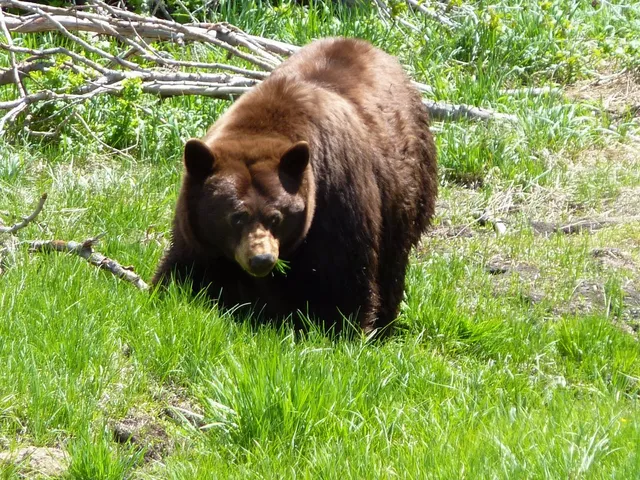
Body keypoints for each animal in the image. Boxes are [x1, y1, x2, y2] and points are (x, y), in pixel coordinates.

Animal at [152, 37, 437, 335]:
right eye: (235, 217)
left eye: (276, 217)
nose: (261, 259)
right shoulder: (196, 226)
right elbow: (187, 266)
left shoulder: (336, 199)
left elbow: (343, 276)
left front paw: (341, 326)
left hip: (406, 190)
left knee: (393, 261)